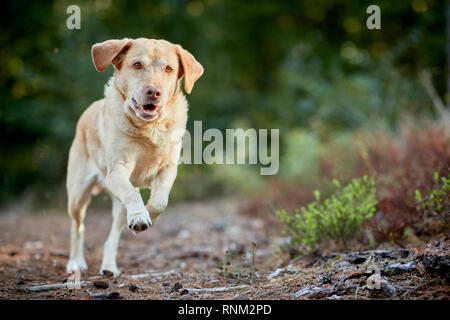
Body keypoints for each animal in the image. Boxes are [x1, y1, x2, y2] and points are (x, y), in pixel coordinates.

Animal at [64, 38, 202, 276]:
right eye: (137, 65)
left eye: (169, 68)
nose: (153, 91)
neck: (149, 128)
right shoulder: (117, 170)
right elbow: (131, 194)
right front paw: (139, 216)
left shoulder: (168, 168)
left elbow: (160, 201)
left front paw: (147, 216)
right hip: (77, 194)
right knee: (77, 226)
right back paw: (75, 262)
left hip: (117, 208)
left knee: (113, 235)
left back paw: (109, 266)